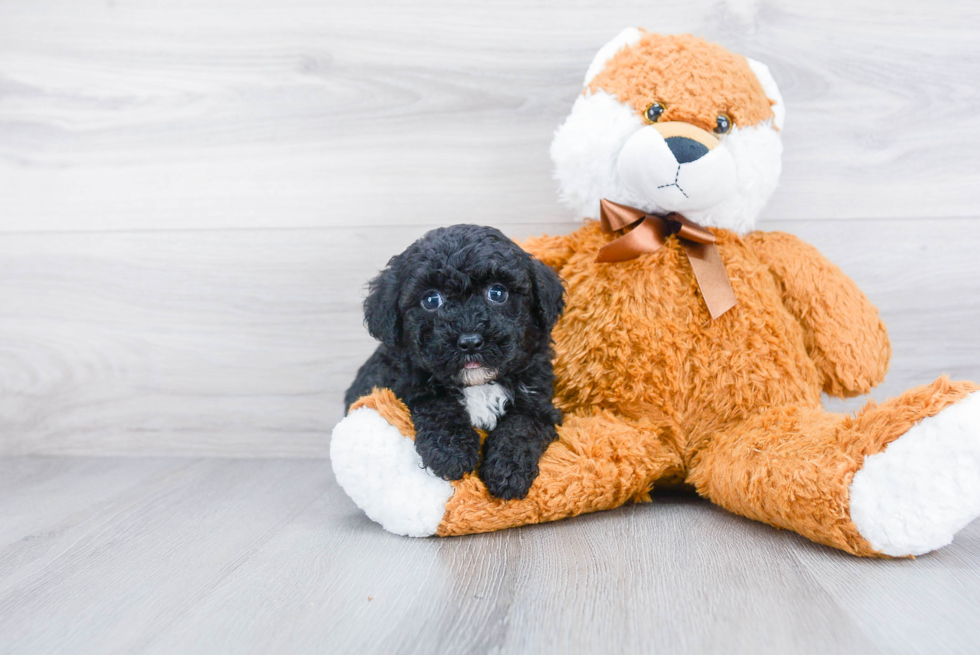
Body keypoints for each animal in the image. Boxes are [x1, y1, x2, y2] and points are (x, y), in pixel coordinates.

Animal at [344, 223, 564, 500]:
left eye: (498, 293)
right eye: (431, 300)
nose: (469, 341)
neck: (479, 385)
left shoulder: (537, 399)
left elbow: (522, 426)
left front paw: (508, 470)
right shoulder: (403, 384)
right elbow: (437, 404)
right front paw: (452, 453)